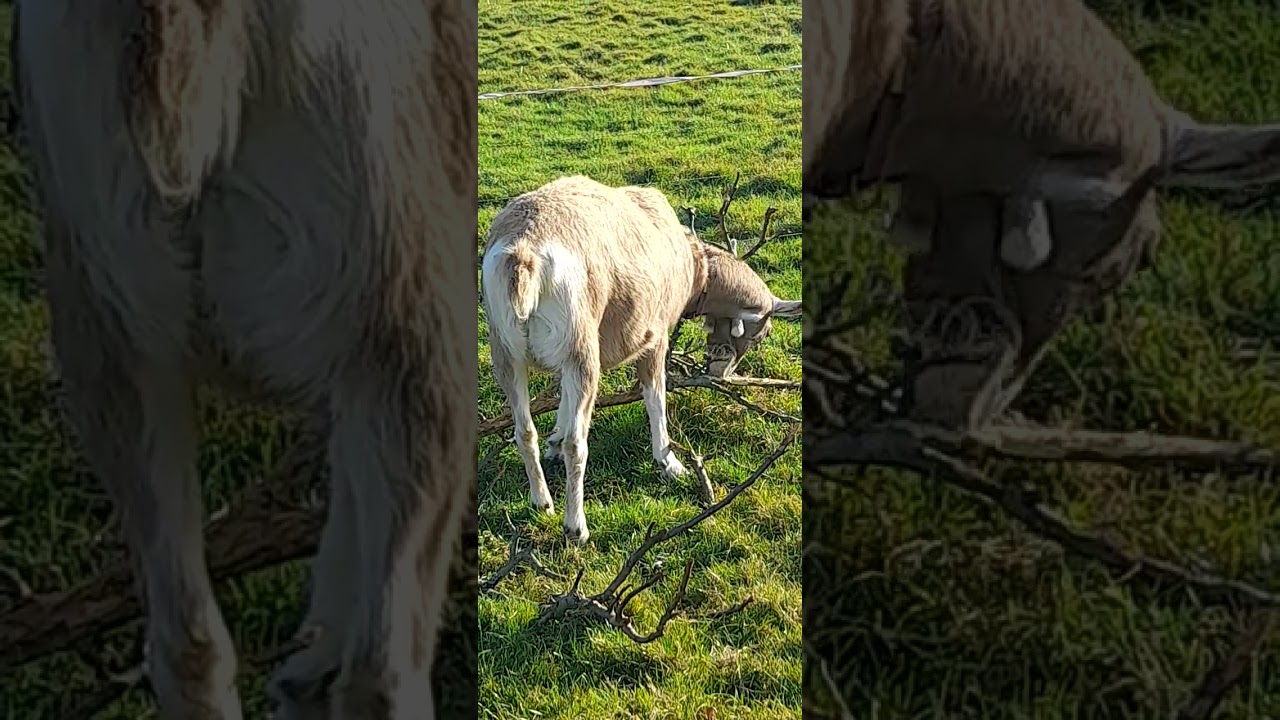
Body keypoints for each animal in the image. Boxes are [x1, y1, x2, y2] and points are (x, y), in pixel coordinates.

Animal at [480, 175, 800, 543]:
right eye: (761, 333)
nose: (722, 372)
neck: (695, 269)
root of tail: (523, 254)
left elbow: (561, 402)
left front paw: (554, 442)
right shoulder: (655, 336)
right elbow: (655, 396)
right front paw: (669, 462)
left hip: (507, 352)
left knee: (524, 430)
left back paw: (542, 502)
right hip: (581, 349)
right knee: (579, 443)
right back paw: (576, 526)